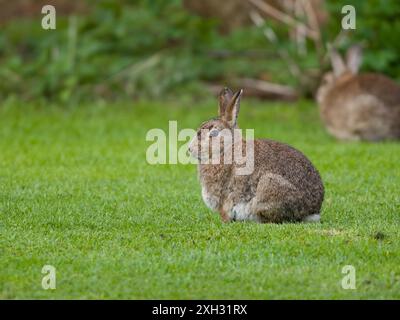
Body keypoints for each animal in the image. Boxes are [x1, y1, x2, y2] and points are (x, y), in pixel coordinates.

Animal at [188, 87, 324, 222]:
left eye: (214, 133)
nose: (190, 149)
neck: (227, 148)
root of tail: (312, 211)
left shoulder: (224, 198)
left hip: (268, 186)